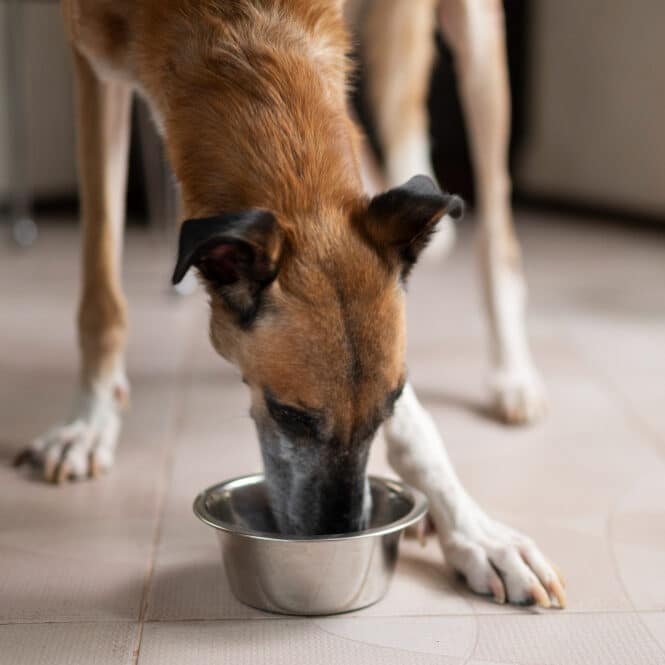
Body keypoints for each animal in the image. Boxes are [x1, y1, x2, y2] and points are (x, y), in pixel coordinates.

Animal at [18, 0, 564, 608]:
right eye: (289, 416)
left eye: (391, 404)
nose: (344, 532)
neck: (236, 27)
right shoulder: (93, 67)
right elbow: (100, 288)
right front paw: (90, 420)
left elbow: (417, 427)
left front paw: (472, 530)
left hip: (474, 43)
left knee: (496, 235)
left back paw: (513, 376)